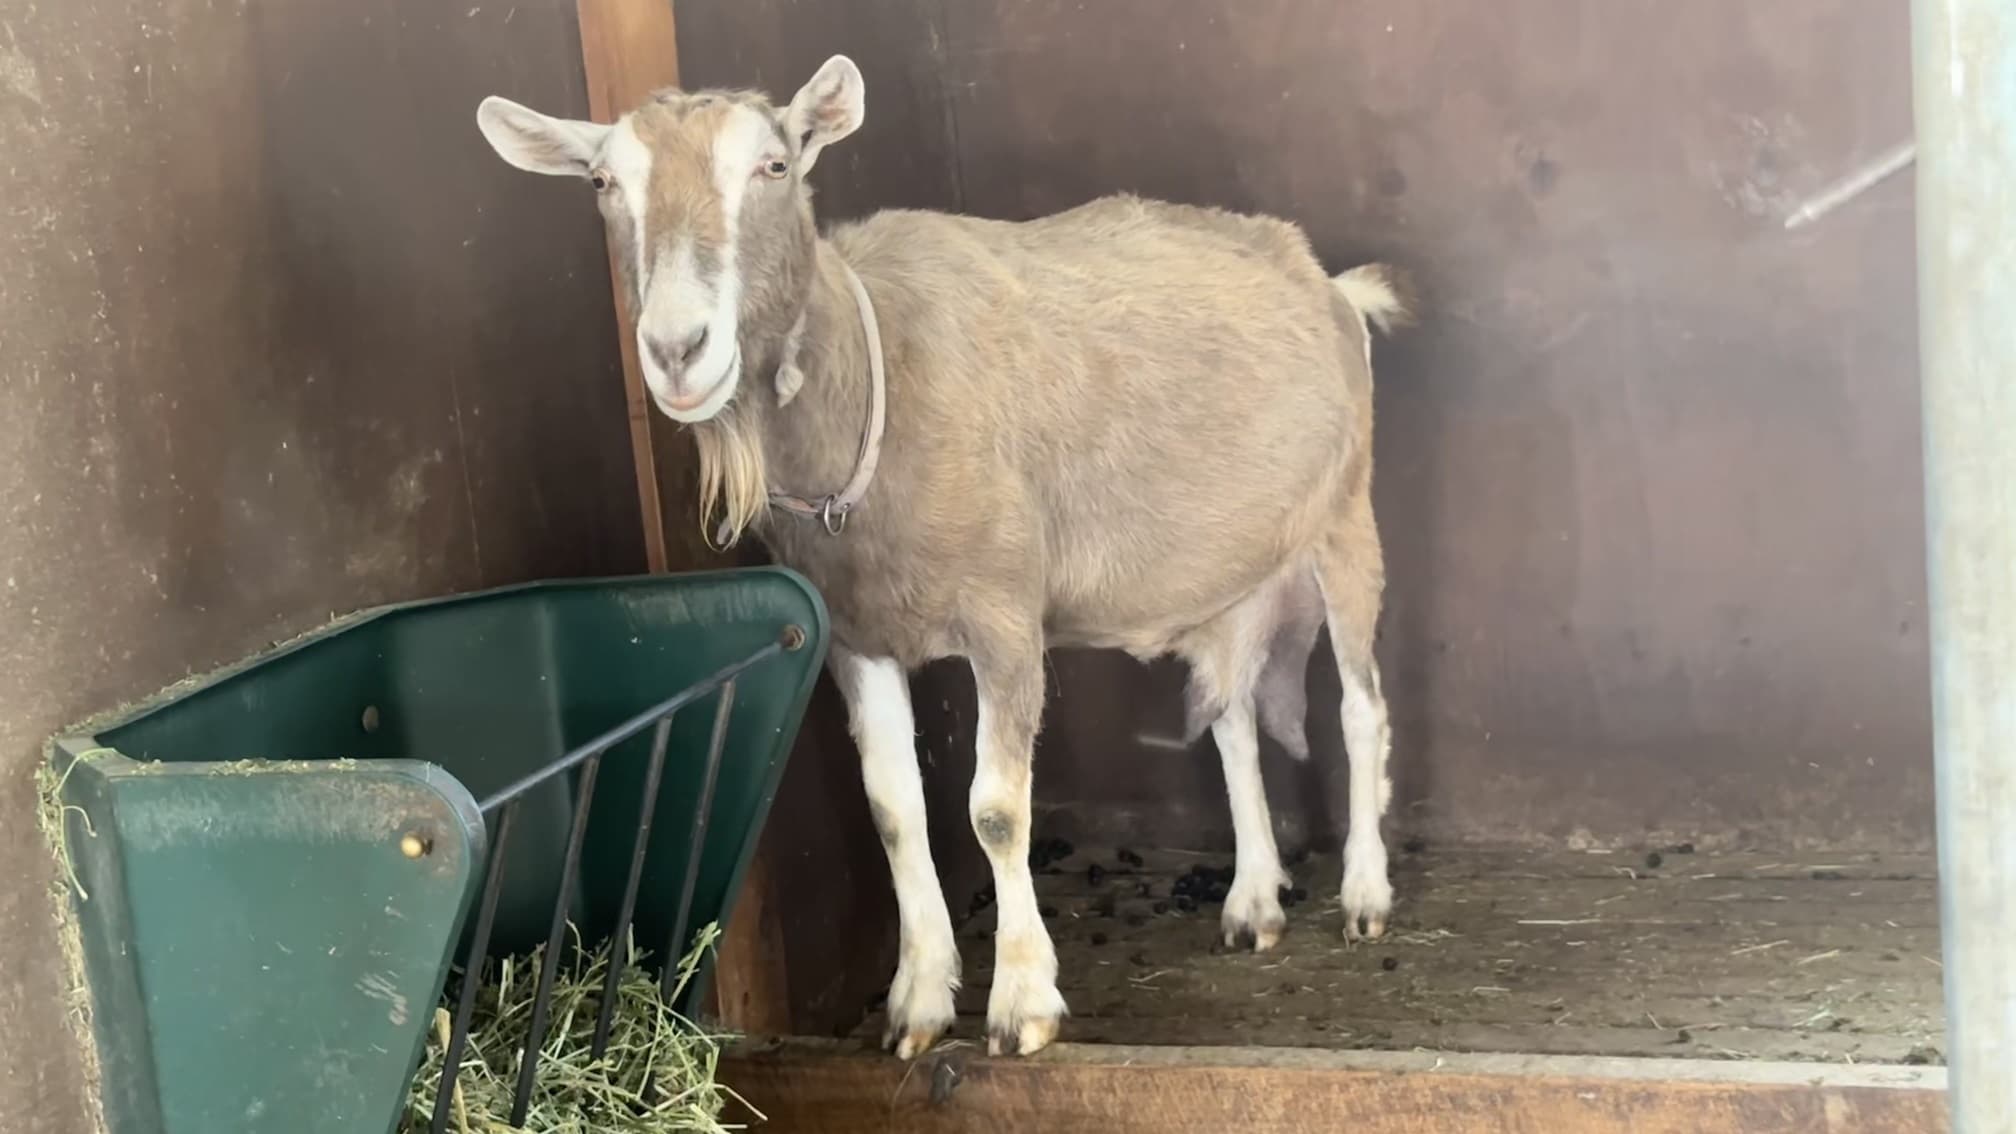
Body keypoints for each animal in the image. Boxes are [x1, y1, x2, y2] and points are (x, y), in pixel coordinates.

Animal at [477, 55, 1412, 1059]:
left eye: (774, 166)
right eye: (602, 184)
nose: (677, 349)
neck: (876, 379)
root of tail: (1332, 285)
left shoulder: (1004, 615)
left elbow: (995, 809)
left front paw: (1023, 1003)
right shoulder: (857, 638)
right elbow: (894, 808)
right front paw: (919, 1001)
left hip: (1345, 515)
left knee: (1360, 706)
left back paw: (1364, 896)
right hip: (1229, 575)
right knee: (1232, 717)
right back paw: (1253, 901)